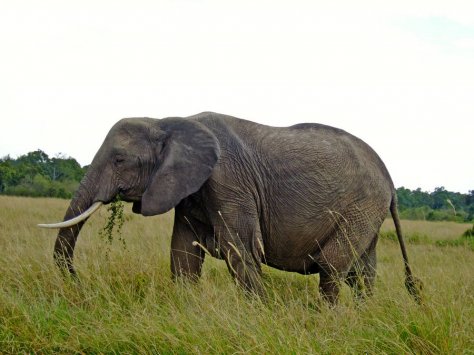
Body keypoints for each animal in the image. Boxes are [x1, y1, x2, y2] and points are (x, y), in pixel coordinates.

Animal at [39, 112, 420, 306]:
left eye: (119, 160)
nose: (79, 284)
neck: (167, 120)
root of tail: (390, 178)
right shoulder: (191, 191)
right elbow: (183, 254)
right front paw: (188, 311)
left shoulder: (228, 181)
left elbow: (241, 249)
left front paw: (261, 315)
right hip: (366, 212)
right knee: (362, 271)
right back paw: (363, 316)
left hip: (361, 206)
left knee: (332, 267)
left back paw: (328, 318)